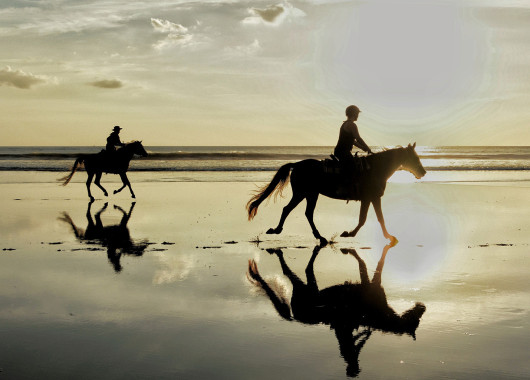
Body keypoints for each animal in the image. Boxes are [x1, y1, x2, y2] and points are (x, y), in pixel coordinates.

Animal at [246, 144, 424, 245]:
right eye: (414, 157)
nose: (423, 171)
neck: (376, 169)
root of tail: (296, 165)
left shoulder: (368, 199)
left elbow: (365, 218)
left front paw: (350, 233)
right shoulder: (373, 198)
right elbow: (376, 218)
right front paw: (388, 237)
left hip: (310, 194)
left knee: (305, 213)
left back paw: (318, 236)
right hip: (304, 193)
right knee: (290, 210)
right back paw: (279, 230)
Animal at [246, 243, 424, 378]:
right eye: (417, 319)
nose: (423, 306)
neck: (383, 316)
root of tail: (295, 317)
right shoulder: (370, 284)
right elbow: (370, 264)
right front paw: (351, 250)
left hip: (308, 291)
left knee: (301, 273)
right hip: (305, 291)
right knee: (292, 271)